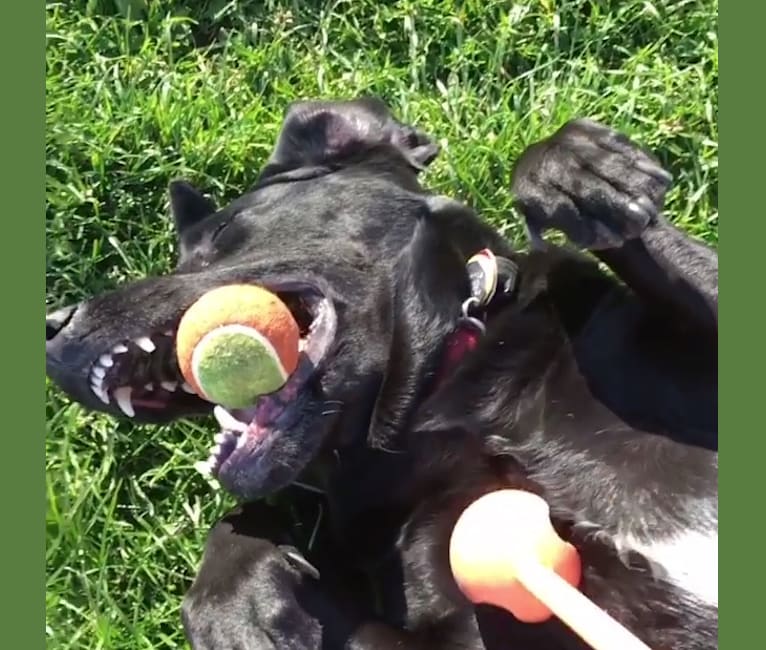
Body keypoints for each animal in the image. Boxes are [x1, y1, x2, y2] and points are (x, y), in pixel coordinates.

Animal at [46, 97, 720, 648]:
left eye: (222, 232)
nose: (52, 326)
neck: (441, 398)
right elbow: (238, 526)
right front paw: (233, 603)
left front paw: (578, 169)